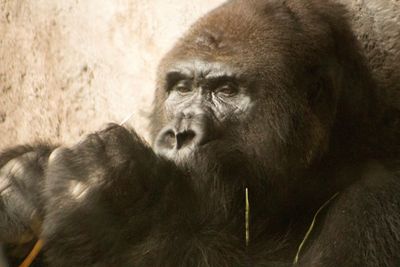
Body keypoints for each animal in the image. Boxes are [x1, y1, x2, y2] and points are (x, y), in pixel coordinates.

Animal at [0, 0, 400, 266]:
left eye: (226, 90)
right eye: (182, 88)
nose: (179, 134)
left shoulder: (375, 203)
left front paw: (109, 203)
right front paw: (20, 179)